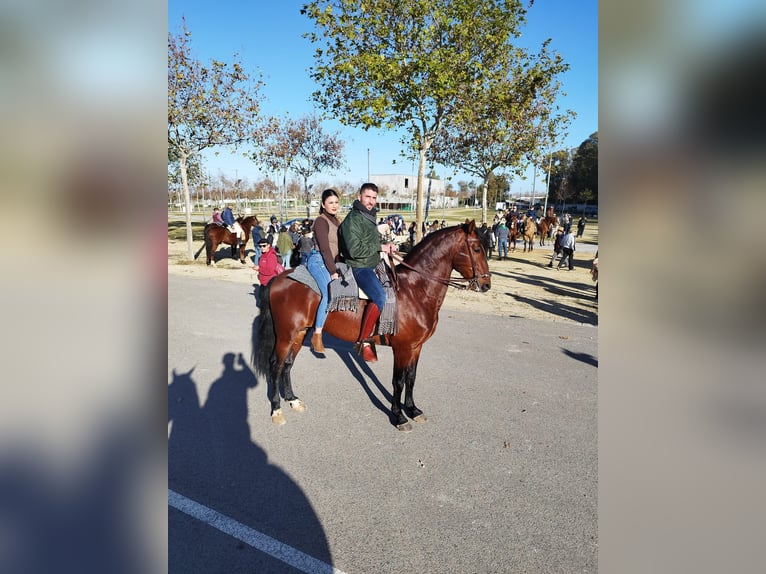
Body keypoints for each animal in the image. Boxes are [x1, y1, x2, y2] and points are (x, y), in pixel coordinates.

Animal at [252, 219, 492, 432]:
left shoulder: (416, 347)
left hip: (300, 333)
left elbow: (412, 378)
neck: (415, 291)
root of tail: (279, 278)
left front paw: (413, 409)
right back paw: (277, 409)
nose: (486, 284)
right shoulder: (402, 348)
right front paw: (399, 416)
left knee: (287, 364)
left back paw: (293, 400)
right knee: (275, 366)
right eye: (476, 248)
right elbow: (398, 381)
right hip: (285, 335)